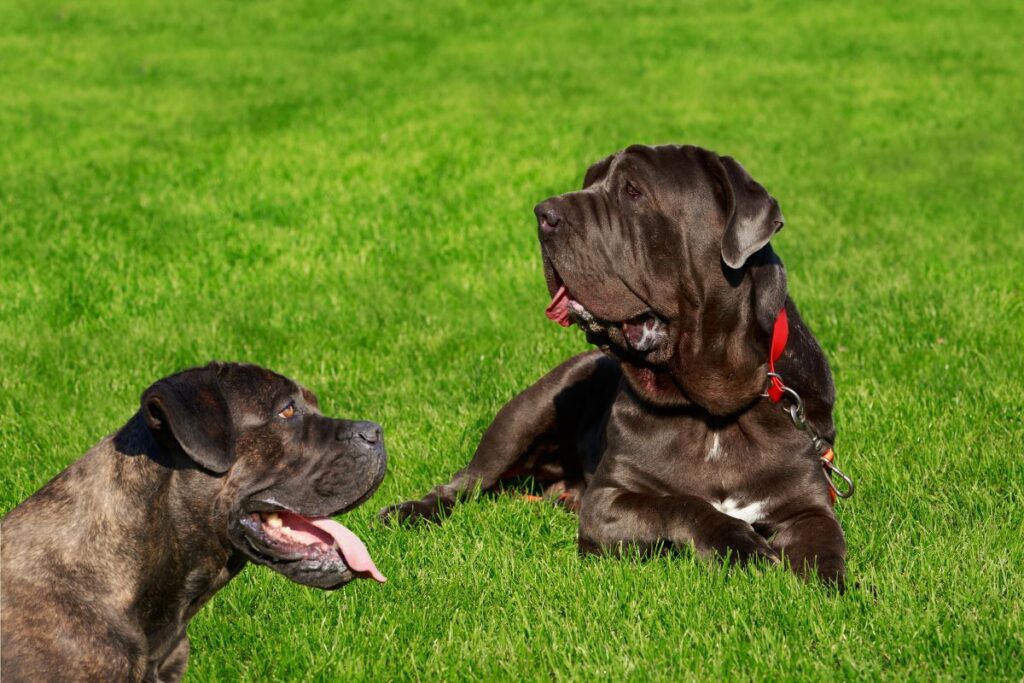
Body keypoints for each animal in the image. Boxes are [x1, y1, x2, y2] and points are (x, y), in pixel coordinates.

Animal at [385, 143, 847, 589]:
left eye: (633, 192)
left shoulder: (807, 506)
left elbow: (825, 546)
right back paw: (409, 510)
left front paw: (830, 592)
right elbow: (683, 504)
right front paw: (741, 545)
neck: (714, 409)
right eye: (588, 181)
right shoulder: (609, 499)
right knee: (468, 480)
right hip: (525, 413)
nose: (543, 213)